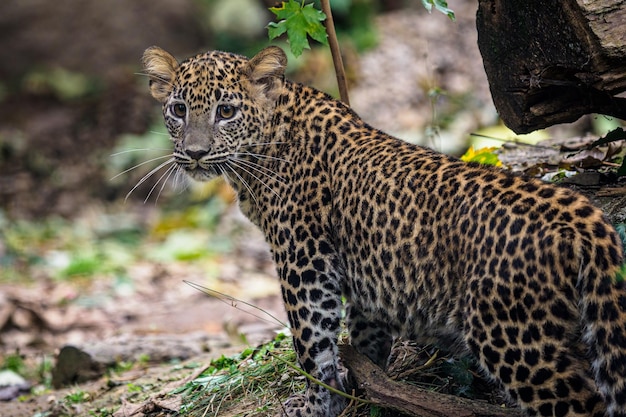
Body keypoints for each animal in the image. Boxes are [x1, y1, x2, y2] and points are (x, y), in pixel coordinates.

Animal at [140, 45, 624, 416]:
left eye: (226, 111)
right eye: (179, 110)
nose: (195, 153)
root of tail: (583, 216)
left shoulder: (305, 265)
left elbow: (312, 345)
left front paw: (318, 404)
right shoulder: (366, 280)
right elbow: (364, 337)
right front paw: (357, 390)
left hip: (515, 335)